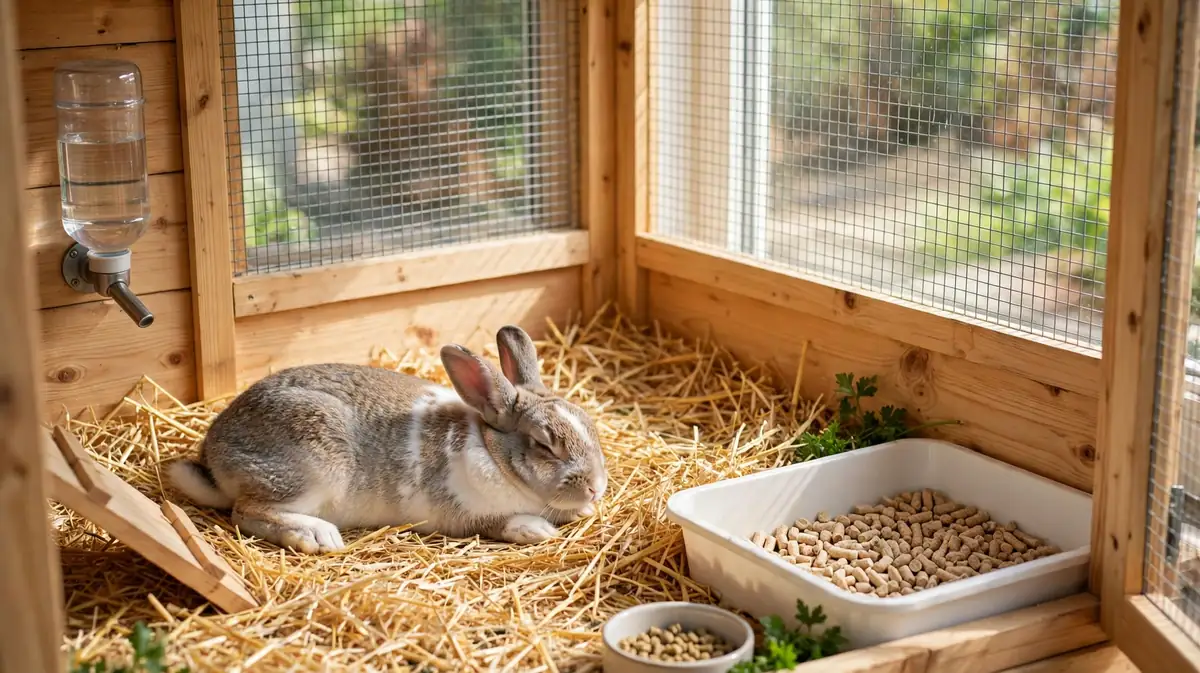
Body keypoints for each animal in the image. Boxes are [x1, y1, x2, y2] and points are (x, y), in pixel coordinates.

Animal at [166, 325, 608, 554]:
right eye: (544, 444)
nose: (596, 488)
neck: (491, 451)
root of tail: (216, 456)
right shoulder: (466, 515)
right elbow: (500, 523)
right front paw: (537, 530)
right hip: (312, 468)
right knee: (246, 511)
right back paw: (317, 536)